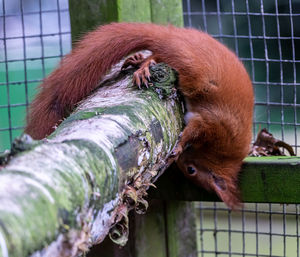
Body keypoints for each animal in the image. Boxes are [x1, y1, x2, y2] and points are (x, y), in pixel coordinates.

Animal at [25, 22, 253, 208]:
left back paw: (139, 59)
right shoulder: (213, 124)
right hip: (191, 69)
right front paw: (179, 147)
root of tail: (172, 36)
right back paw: (144, 65)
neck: (220, 151)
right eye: (191, 170)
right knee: (159, 54)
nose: (179, 163)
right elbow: (192, 130)